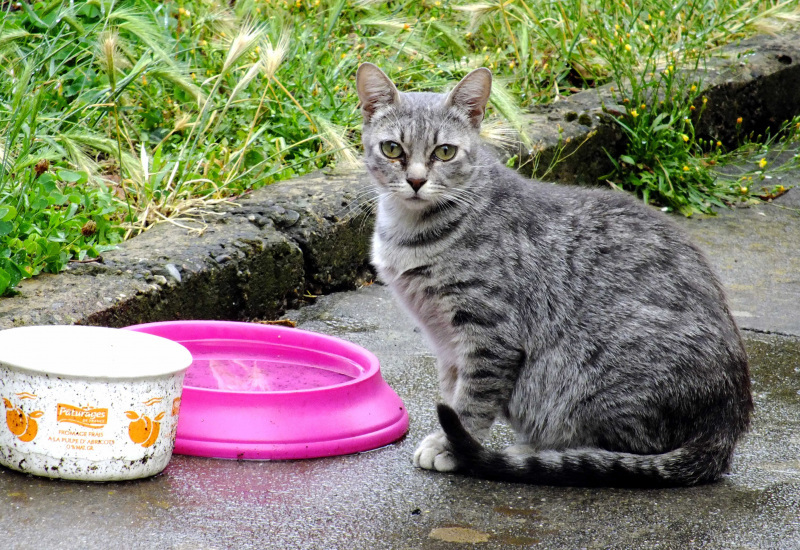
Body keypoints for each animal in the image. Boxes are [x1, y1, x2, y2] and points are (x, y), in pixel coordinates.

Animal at [354, 62, 752, 490]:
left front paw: (451, 447)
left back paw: (535, 452)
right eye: (392, 149)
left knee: (624, 450)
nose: (415, 181)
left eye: (444, 152)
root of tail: (726, 429)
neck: (411, 231)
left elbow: (471, 402)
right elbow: (453, 390)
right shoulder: (446, 342)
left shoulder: (489, 333)